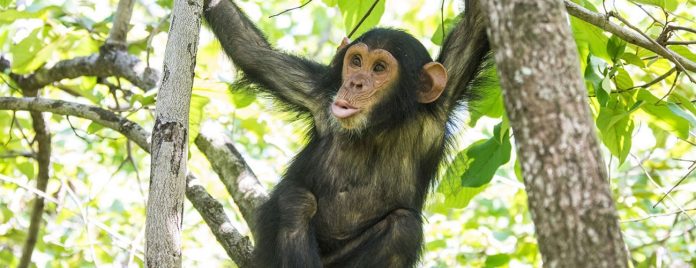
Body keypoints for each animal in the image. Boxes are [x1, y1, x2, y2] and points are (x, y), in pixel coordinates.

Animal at [203, 0, 490, 266]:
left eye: (379, 68)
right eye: (356, 61)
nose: (355, 82)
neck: (378, 126)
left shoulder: (442, 104)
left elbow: (474, 28)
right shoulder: (317, 93)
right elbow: (252, 52)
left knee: (404, 228)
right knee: (295, 201)